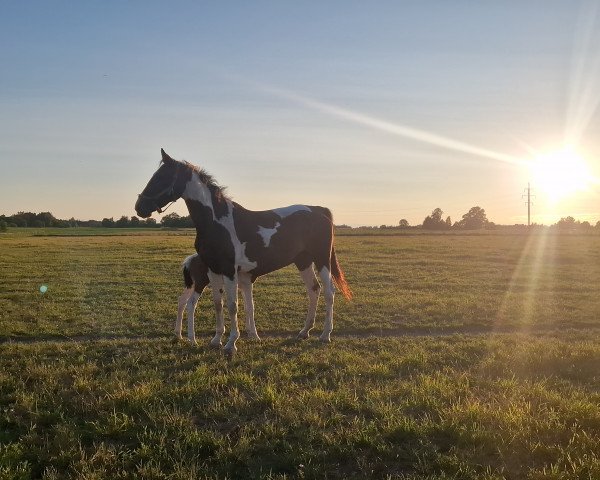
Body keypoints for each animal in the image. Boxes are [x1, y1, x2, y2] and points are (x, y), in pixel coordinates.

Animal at [136, 148, 352, 354]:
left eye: (162, 177)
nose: (139, 207)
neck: (217, 222)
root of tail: (319, 210)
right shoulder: (214, 270)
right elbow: (218, 304)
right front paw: (216, 340)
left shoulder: (229, 271)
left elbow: (233, 306)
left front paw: (231, 343)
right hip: (303, 261)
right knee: (313, 290)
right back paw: (304, 332)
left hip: (322, 259)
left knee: (329, 293)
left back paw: (325, 335)